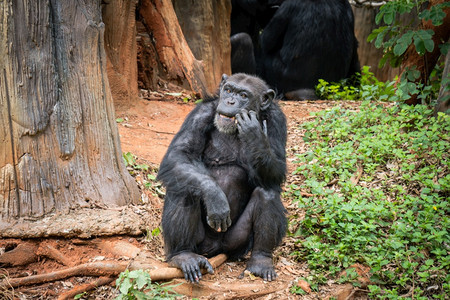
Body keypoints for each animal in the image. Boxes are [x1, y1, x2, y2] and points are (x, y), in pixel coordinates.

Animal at [156, 73, 286, 284]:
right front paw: (215, 197)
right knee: (183, 189)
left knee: (267, 192)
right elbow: (179, 154)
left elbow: (277, 173)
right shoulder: (200, 113)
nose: (230, 101)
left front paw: (255, 134)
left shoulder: (277, 120)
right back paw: (183, 256)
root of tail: (215, 249)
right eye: (229, 90)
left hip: (237, 243)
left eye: (243, 95)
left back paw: (261, 261)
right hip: (199, 243)